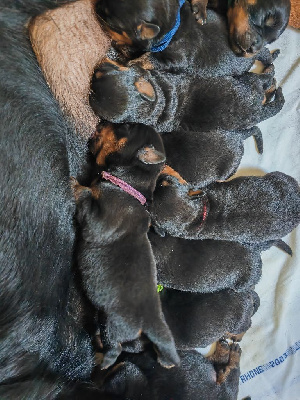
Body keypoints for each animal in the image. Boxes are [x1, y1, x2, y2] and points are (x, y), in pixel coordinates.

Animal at [73, 123, 179, 370]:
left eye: (127, 127)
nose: (101, 123)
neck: (127, 187)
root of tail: (151, 320)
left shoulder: (97, 220)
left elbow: (85, 193)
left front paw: (74, 183)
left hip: (112, 324)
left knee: (114, 349)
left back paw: (101, 361)